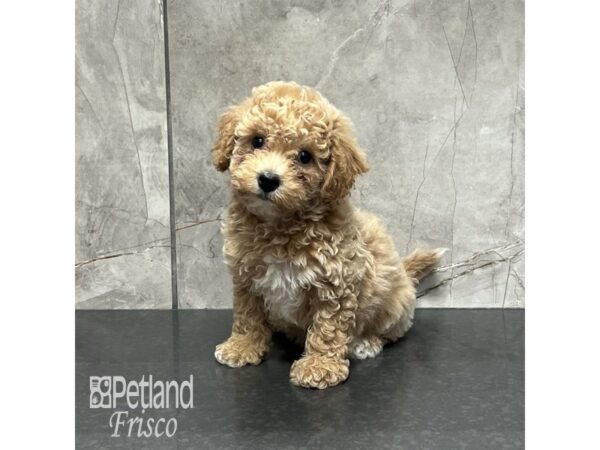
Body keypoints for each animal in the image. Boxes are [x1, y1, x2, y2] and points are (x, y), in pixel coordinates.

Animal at [213, 81, 442, 390]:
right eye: (257, 141)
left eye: (304, 157)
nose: (268, 179)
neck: (280, 227)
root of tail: (405, 273)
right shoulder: (246, 277)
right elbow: (248, 315)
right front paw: (242, 346)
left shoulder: (336, 283)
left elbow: (328, 328)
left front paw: (319, 366)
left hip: (394, 304)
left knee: (389, 331)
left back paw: (365, 343)